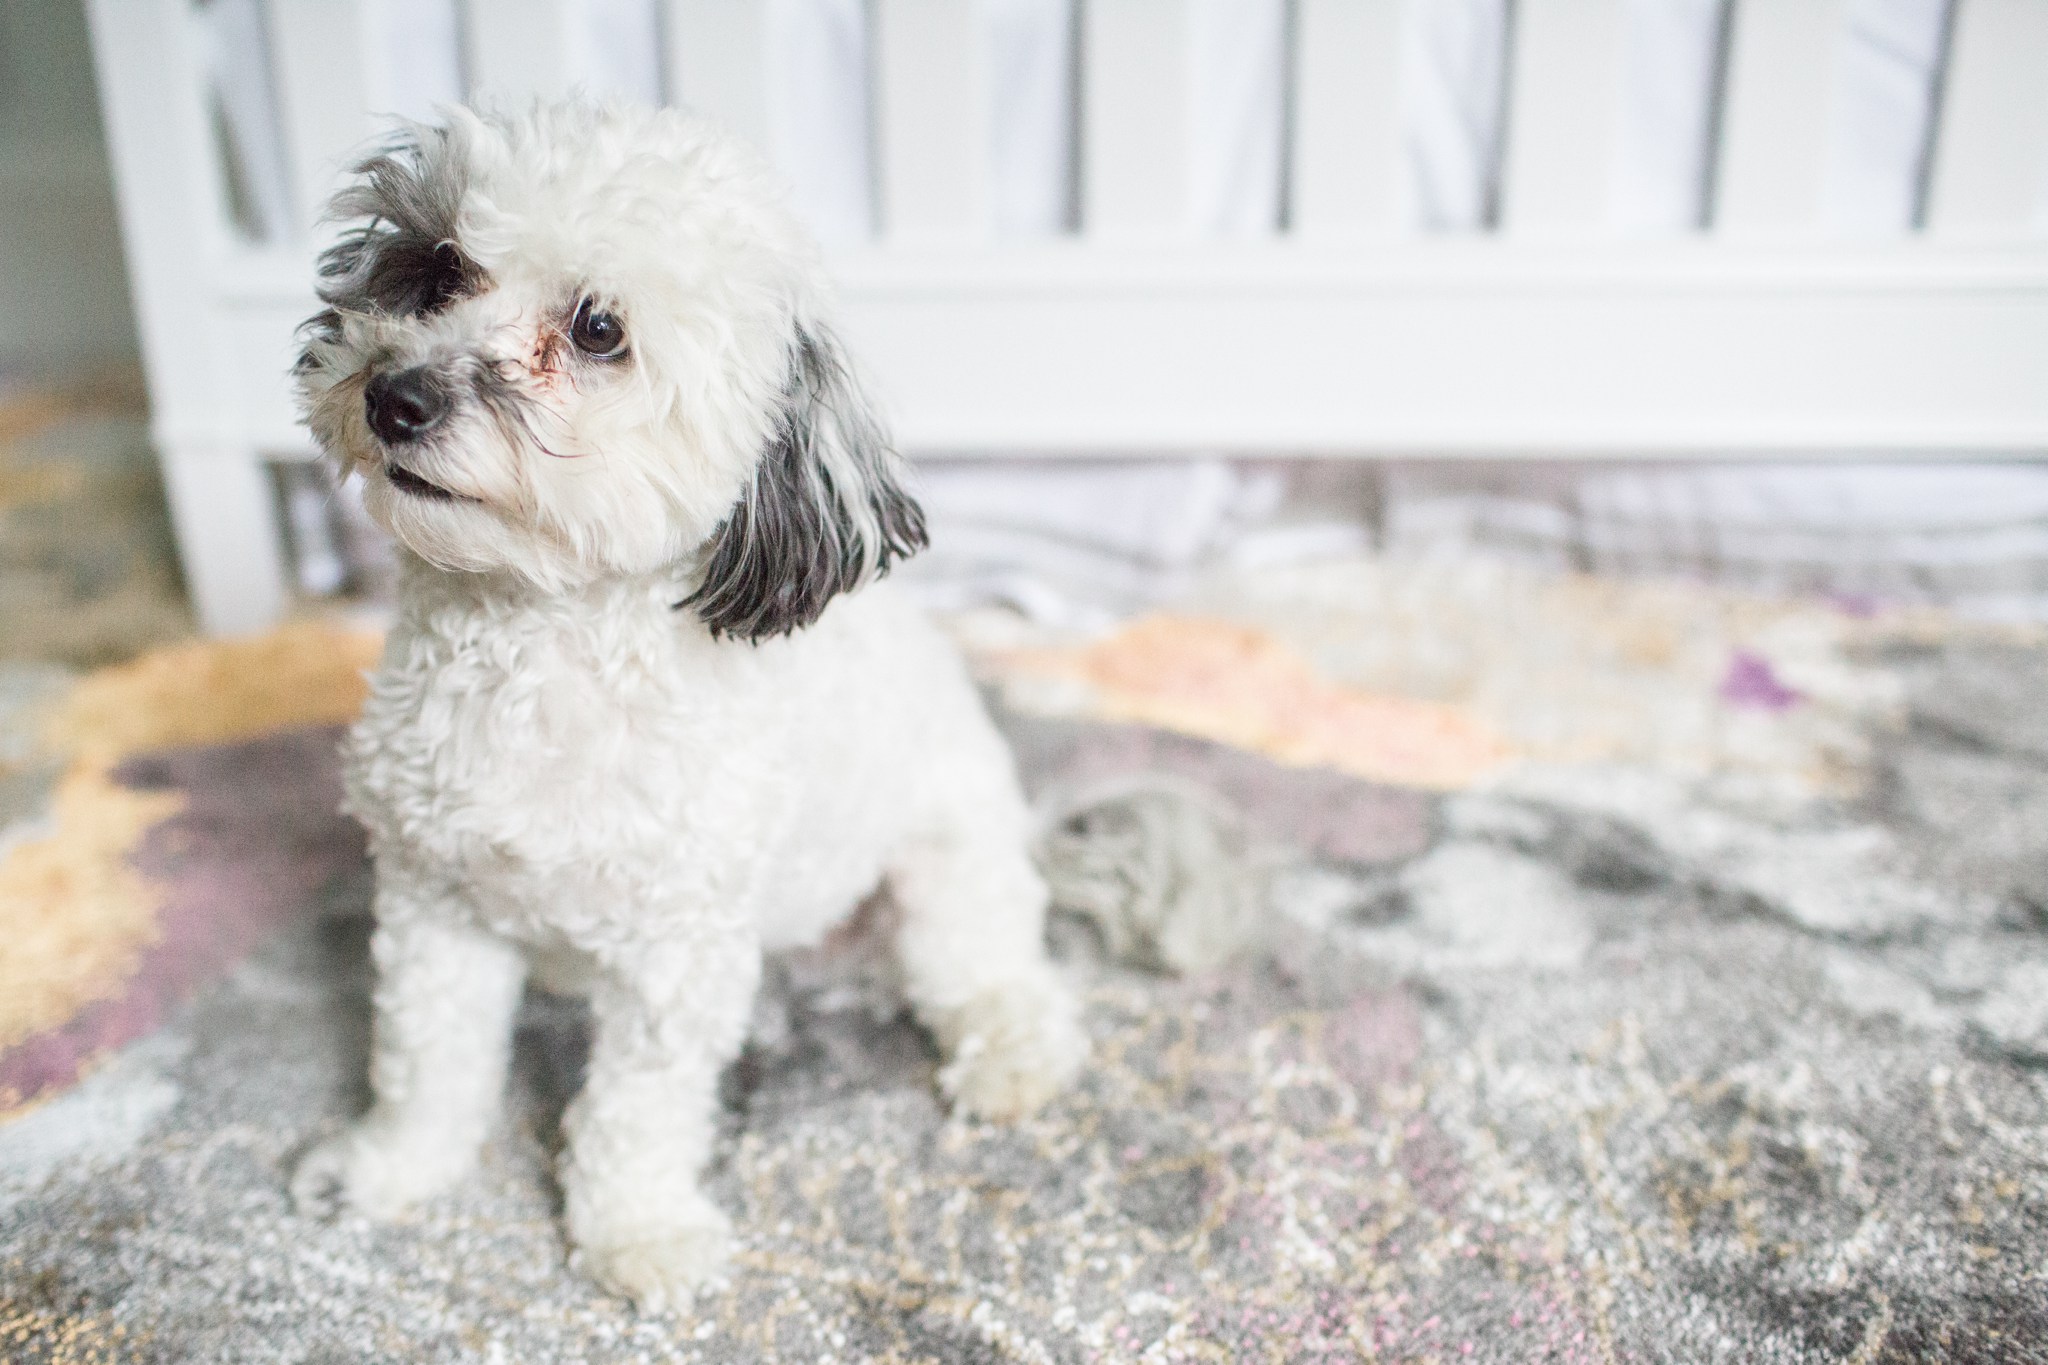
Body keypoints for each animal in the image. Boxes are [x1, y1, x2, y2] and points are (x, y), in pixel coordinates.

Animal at [292, 101, 1089, 1309]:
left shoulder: (672, 960)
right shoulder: (436, 908)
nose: (397, 395)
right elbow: (428, 1063)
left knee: (998, 975)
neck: (537, 657)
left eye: (597, 330)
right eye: (437, 267)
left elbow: (634, 1114)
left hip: (944, 878)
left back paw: (1012, 1058)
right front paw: (392, 1169)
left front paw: (637, 1233)